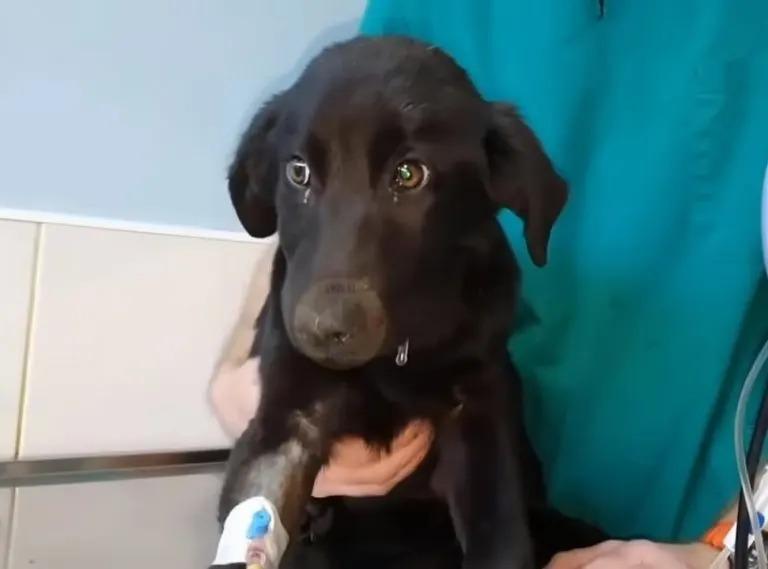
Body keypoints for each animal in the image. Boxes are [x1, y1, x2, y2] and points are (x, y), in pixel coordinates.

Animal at [213, 35, 604, 568]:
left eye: (408, 174)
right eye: (298, 172)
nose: (322, 329)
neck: (395, 354)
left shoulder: (479, 413)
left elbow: (499, 537)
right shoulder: (287, 416)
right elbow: (255, 512)